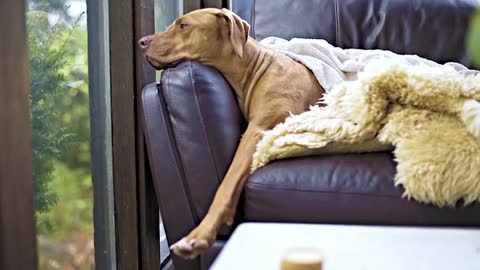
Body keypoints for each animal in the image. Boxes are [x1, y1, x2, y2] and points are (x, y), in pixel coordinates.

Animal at [141, 7, 324, 258]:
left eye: (184, 26)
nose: (142, 42)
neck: (255, 66)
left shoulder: (258, 131)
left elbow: (226, 183)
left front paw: (199, 235)